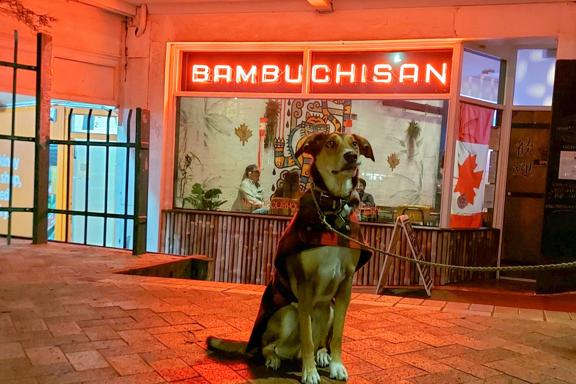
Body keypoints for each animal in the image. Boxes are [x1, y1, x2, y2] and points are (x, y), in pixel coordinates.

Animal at [209, 133, 376, 384]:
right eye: (330, 143)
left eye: (354, 144)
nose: (351, 156)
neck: (332, 208)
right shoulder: (306, 282)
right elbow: (307, 335)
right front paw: (310, 373)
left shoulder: (346, 284)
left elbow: (337, 334)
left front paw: (336, 365)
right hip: (288, 313)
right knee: (269, 346)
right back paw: (275, 359)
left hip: (328, 309)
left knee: (318, 342)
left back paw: (322, 355)